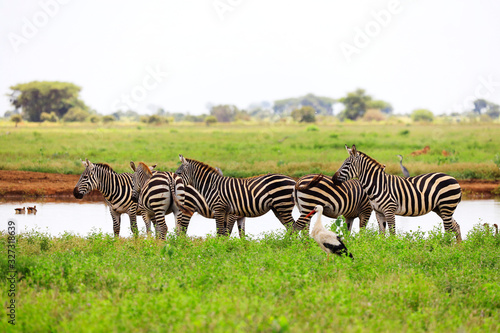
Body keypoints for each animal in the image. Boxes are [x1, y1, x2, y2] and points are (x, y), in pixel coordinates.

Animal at [330, 144, 462, 240]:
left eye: (347, 164)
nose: (333, 179)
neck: (377, 185)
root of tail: (454, 179)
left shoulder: (390, 210)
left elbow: (392, 233)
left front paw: (393, 250)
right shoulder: (378, 212)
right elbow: (382, 234)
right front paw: (382, 250)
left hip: (446, 206)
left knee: (449, 229)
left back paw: (446, 248)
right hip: (440, 208)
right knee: (456, 226)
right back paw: (458, 249)